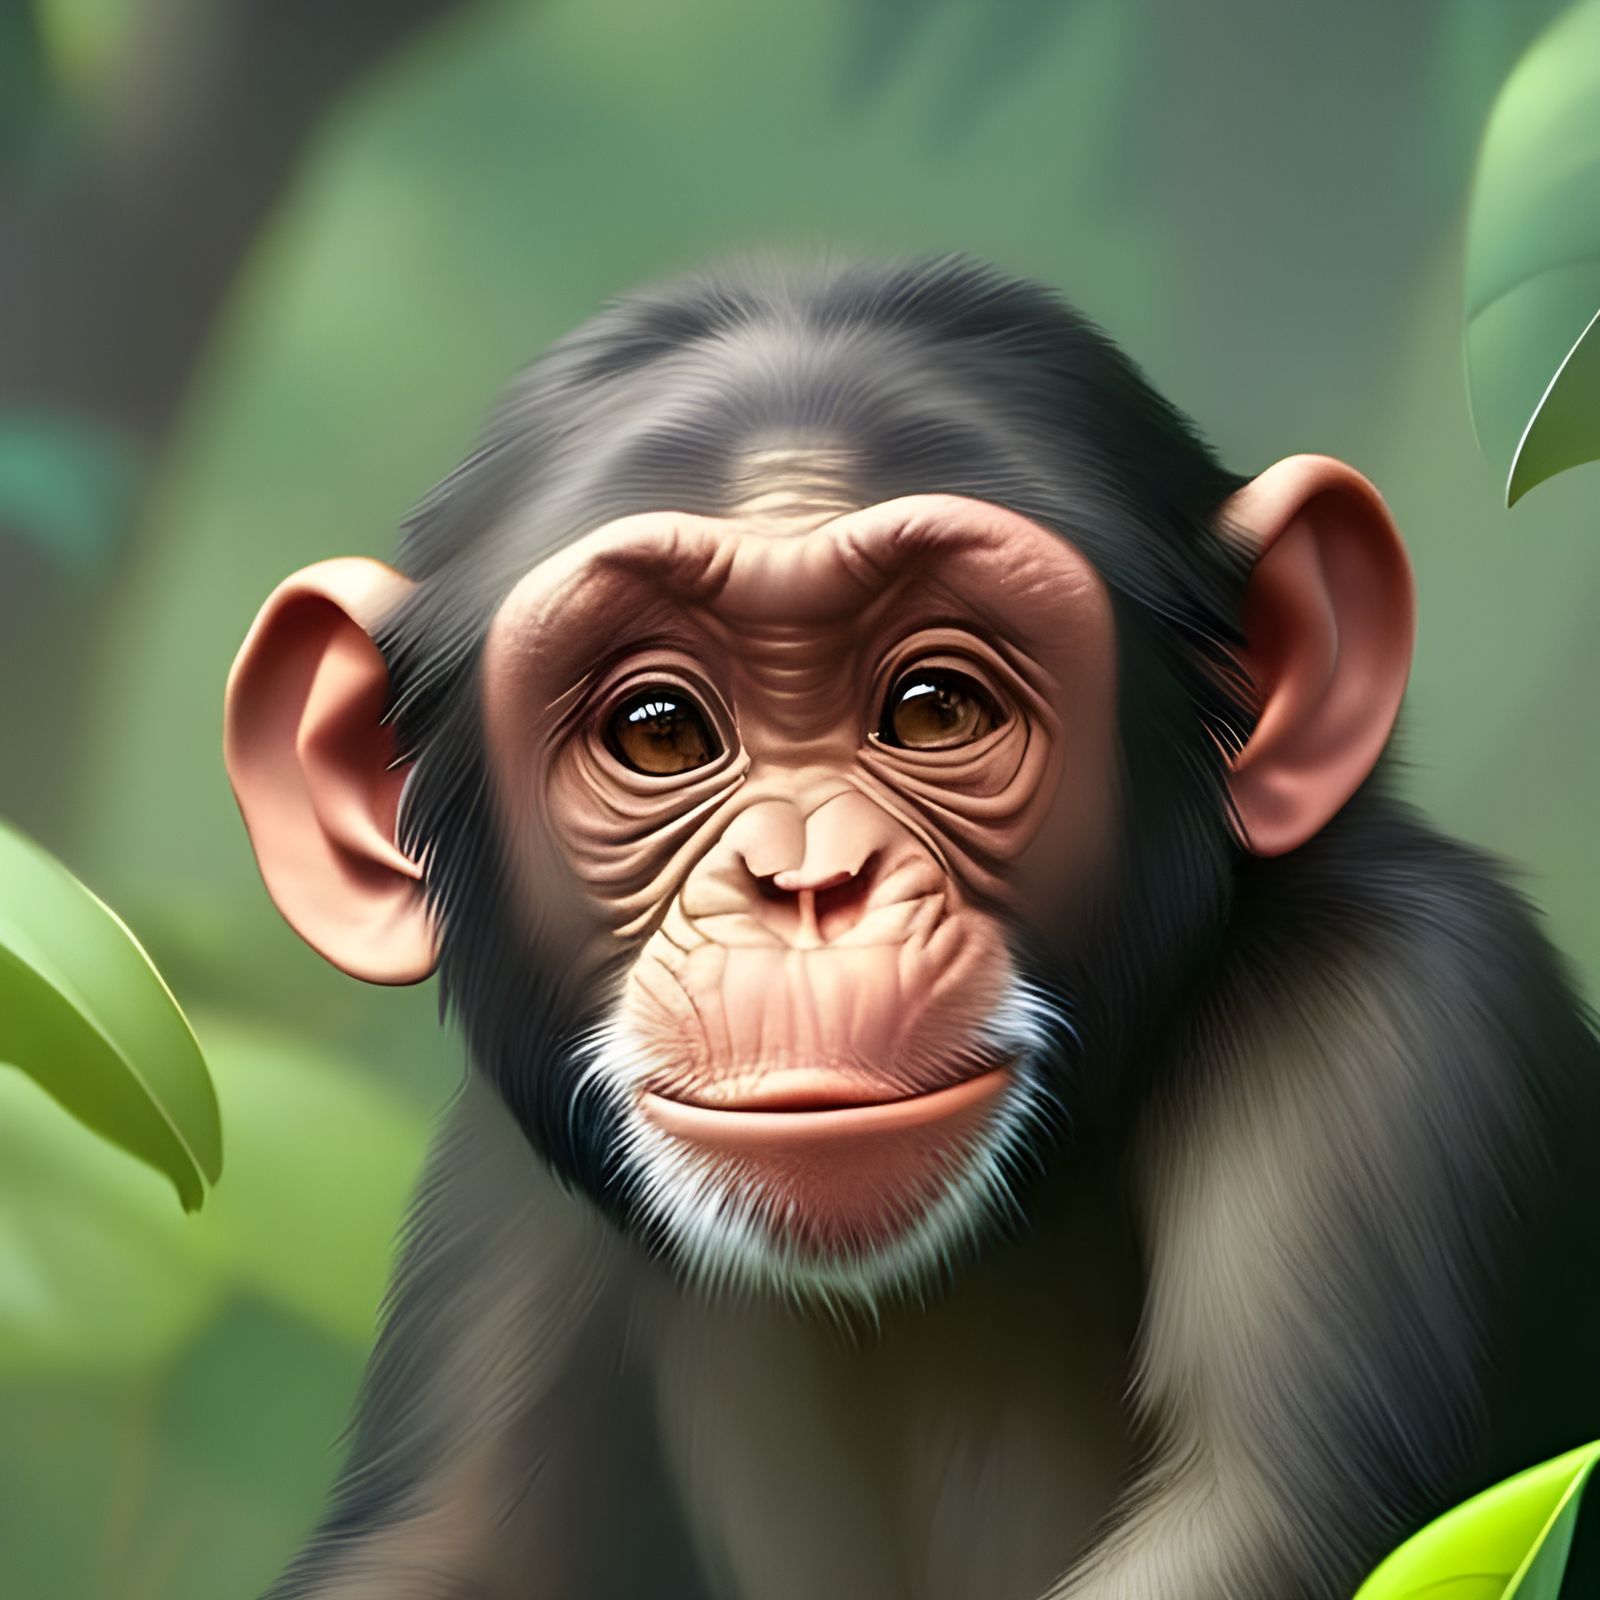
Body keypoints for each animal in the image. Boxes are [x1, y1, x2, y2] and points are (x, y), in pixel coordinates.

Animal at [224, 256, 1600, 1600]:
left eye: (936, 708)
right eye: (658, 731)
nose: (806, 878)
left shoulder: (1401, 1022)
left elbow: (1266, 1515)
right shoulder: (509, 1180)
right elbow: (442, 1539)